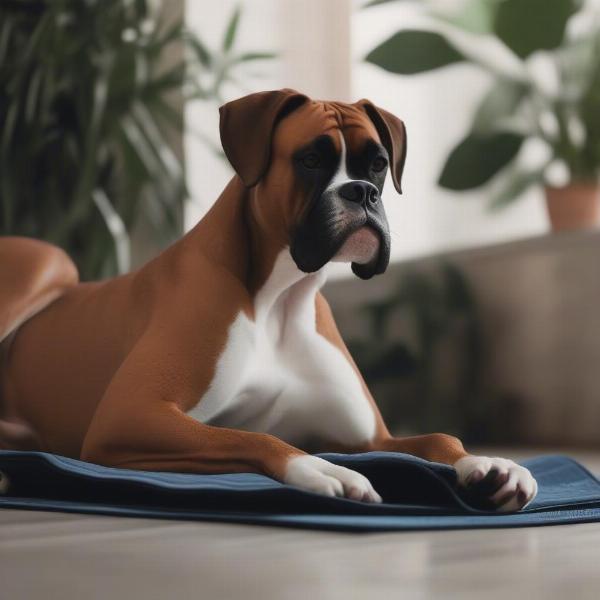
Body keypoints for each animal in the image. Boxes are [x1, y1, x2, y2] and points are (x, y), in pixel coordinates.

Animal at [0, 90, 536, 510]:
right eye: (311, 160)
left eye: (379, 165)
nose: (361, 191)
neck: (280, 298)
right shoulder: (131, 415)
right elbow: (251, 435)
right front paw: (323, 469)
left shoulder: (369, 438)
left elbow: (439, 437)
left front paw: (489, 462)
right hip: (48, 260)